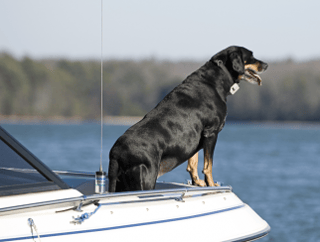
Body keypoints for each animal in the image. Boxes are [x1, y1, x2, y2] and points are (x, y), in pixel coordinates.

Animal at [107, 46, 268, 192]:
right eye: (251, 56)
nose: (266, 65)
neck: (216, 79)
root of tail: (116, 154)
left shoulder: (196, 135)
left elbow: (193, 162)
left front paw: (197, 182)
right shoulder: (211, 132)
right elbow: (208, 165)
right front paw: (211, 184)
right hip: (146, 179)